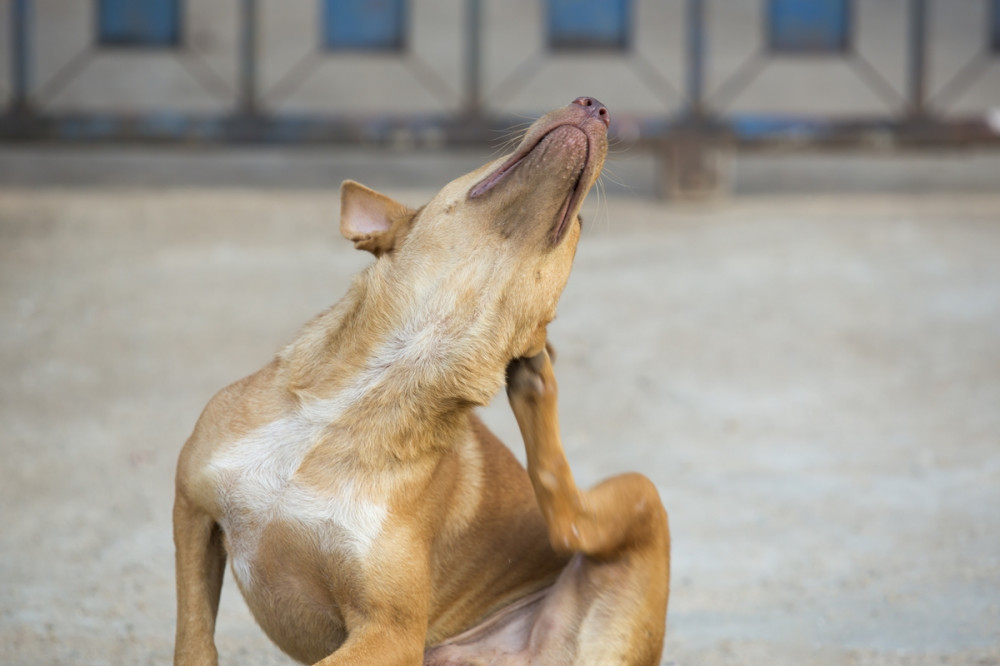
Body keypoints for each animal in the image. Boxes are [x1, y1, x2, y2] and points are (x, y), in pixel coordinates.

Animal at [174, 96, 672, 660]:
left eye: (580, 221)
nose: (595, 103)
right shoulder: (191, 511)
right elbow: (193, 641)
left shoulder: (390, 632)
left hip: (642, 498)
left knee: (569, 521)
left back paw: (534, 385)